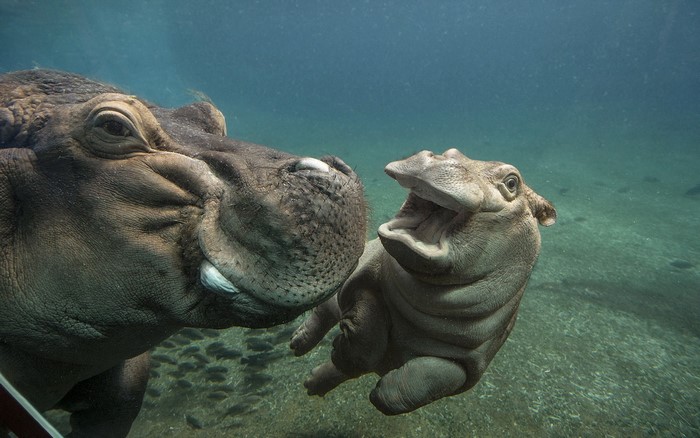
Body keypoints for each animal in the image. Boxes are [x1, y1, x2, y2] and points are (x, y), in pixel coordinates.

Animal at [291, 148, 556, 415]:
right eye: (451, 151)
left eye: (512, 182)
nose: (439, 158)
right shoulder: (366, 282)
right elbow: (366, 337)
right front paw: (341, 346)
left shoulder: (470, 363)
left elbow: (432, 378)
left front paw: (378, 392)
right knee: (324, 311)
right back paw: (298, 344)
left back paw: (312, 383)